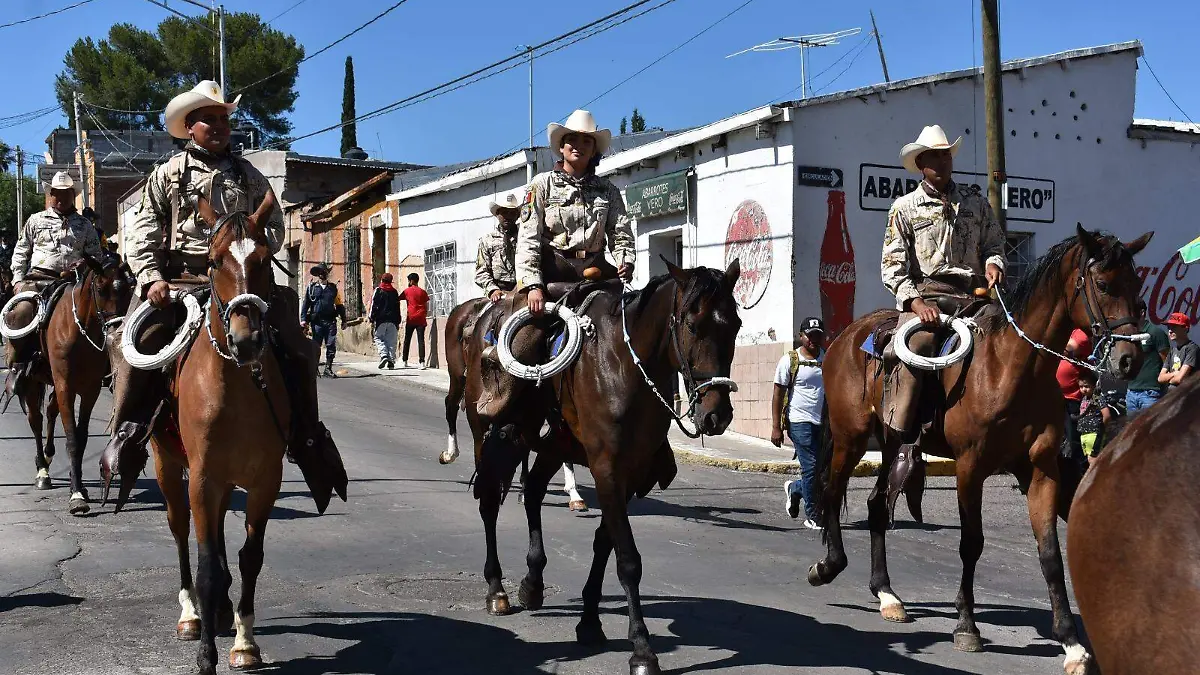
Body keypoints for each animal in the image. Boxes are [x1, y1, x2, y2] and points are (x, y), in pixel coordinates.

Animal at [460, 258, 734, 672]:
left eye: (734, 324)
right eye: (691, 325)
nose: (717, 415)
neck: (624, 366)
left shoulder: (630, 474)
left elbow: (605, 543)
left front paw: (589, 621)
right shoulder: (607, 468)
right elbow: (628, 560)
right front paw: (642, 649)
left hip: (552, 445)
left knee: (534, 491)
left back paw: (532, 583)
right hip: (488, 434)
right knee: (490, 502)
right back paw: (497, 590)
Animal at [811, 227, 1147, 672]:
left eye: (1138, 288)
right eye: (1104, 285)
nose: (1130, 360)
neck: (1011, 368)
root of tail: (844, 337)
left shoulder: (1041, 470)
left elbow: (1050, 555)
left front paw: (1072, 644)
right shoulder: (970, 468)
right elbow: (971, 543)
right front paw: (966, 626)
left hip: (891, 442)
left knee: (877, 504)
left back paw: (887, 595)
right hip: (850, 438)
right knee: (833, 493)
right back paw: (828, 566)